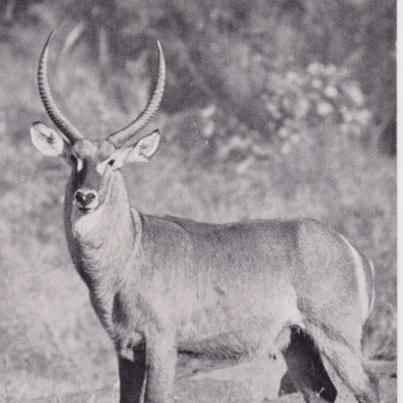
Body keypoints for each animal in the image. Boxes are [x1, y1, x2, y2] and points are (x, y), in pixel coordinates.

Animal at [30, 32, 378, 403]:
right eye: (73, 158)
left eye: (112, 162)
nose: (86, 196)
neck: (131, 250)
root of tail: (353, 250)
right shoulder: (125, 348)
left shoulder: (161, 342)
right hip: (296, 341)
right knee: (323, 391)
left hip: (337, 334)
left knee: (369, 384)